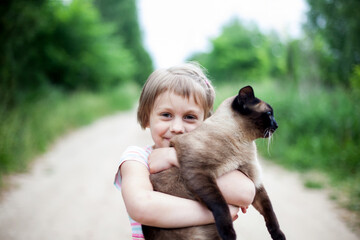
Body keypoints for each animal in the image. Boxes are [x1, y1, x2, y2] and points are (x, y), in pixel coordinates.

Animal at [142, 86, 286, 240]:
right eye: (269, 114)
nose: (277, 125)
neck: (244, 143)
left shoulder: (254, 183)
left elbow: (270, 212)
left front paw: (279, 236)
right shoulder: (199, 173)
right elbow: (220, 205)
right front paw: (229, 235)